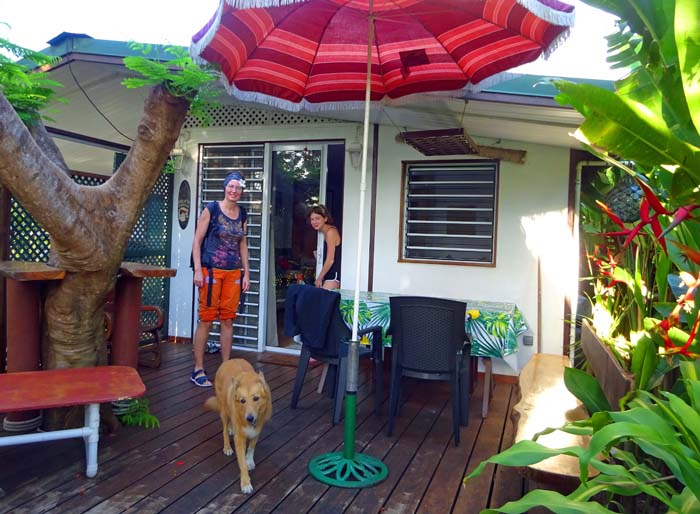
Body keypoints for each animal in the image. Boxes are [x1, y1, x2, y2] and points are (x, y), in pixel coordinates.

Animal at [204, 356, 272, 492]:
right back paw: (227, 447)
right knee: (224, 430)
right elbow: (242, 464)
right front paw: (245, 483)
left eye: (256, 398)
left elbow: (251, 448)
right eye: (242, 401)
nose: (249, 418)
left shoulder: (256, 431)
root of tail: (229, 360)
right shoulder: (239, 439)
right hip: (224, 411)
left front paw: (249, 461)